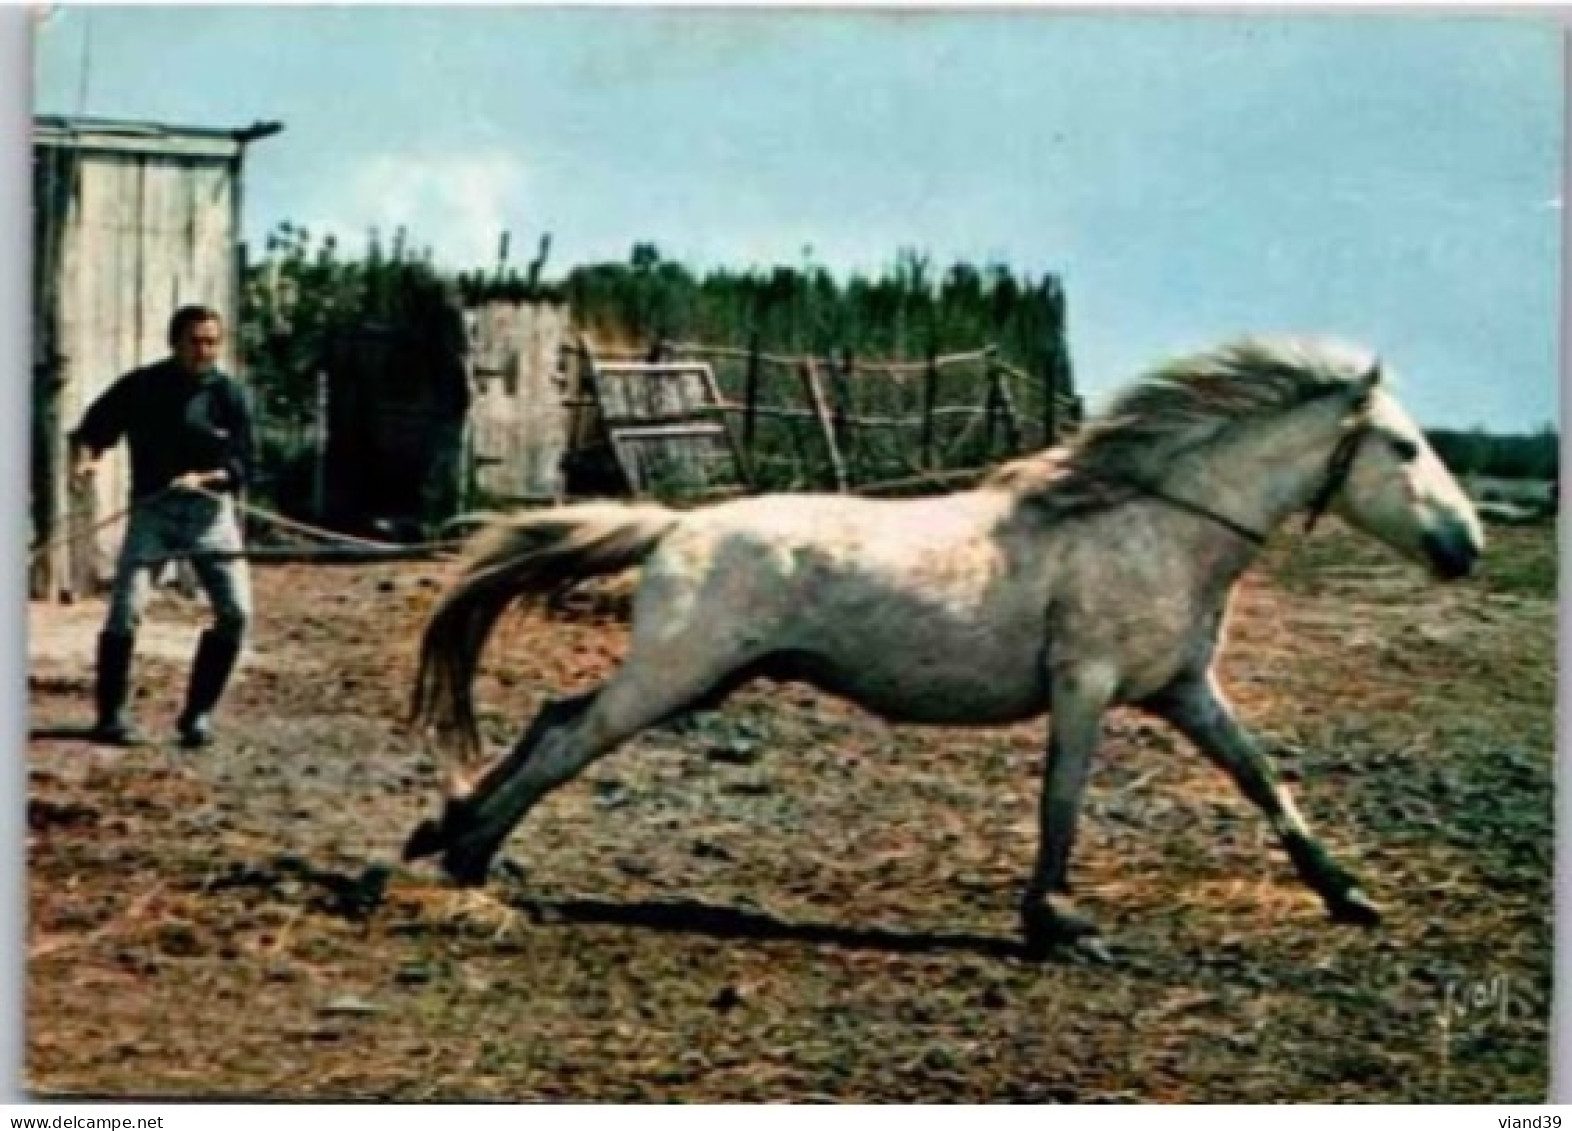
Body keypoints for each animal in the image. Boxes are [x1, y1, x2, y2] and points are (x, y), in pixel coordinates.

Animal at [399, 336, 1477, 956]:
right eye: (1405, 447)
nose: (1465, 546)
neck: (1153, 525)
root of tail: (675, 526)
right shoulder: (1085, 686)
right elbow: (1062, 801)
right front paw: (1055, 923)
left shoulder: (1184, 689)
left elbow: (1261, 778)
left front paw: (1350, 895)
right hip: (675, 674)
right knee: (564, 736)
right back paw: (466, 852)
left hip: (701, 678)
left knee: (555, 719)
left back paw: (449, 832)